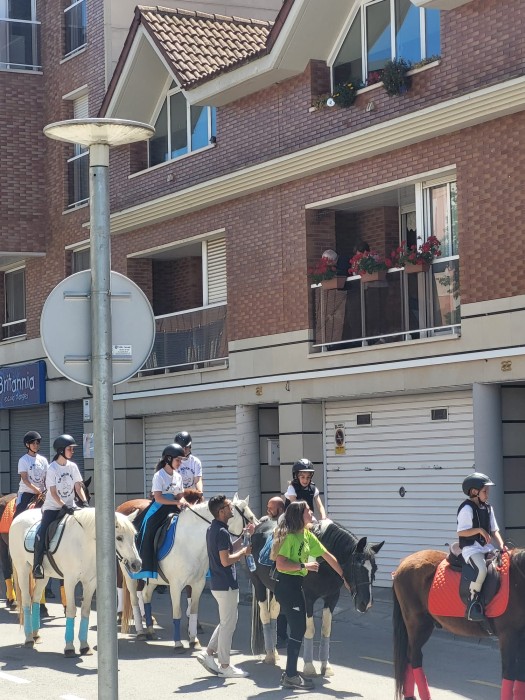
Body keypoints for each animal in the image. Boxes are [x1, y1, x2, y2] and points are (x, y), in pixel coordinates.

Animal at [9, 507, 141, 656]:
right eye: (119, 538)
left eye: (134, 536)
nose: (136, 565)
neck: (84, 544)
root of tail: (19, 516)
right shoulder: (70, 581)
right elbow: (71, 610)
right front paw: (69, 647)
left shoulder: (90, 582)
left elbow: (85, 611)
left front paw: (84, 646)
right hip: (22, 569)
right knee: (26, 600)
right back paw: (29, 638)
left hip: (45, 575)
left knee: (35, 598)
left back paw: (36, 634)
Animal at [120, 493, 258, 652]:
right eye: (248, 515)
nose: (258, 526)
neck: (190, 542)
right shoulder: (175, 586)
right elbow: (177, 613)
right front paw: (178, 643)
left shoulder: (198, 584)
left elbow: (193, 611)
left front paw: (193, 640)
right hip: (130, 576)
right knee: (135, 600)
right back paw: (141, 632)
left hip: (153, 579)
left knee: (146, 596)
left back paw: (150, 630)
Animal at [249, 518, 384, 676]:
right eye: (357, 567)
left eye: (375, 569)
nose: (366, 603)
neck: (323, 561)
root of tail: (257, 528)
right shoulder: (308, 598)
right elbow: (310, 629)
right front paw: (309, 666)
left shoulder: (332, 598)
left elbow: (326, 630)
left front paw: (326, 666)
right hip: (258, 583)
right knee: (265, 615)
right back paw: (270, 655)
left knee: (274, 613)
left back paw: (274, 652)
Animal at [393, 548, 525, 700]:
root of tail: (403, 563)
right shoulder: (508, 636)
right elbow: (509, 673)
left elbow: (521, 674)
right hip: (419, 626)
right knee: (414, 657)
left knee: (409, 658)